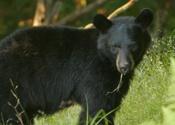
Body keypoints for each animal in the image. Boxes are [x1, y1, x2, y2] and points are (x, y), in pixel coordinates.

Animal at [0, 8, 153, 124]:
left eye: (133, 46)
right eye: (115, 47)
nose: (124, 66)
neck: (104, 59)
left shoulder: (114, 83)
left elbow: (110, 103)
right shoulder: (92, 73)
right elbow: (96, 107)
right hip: (11, 87)